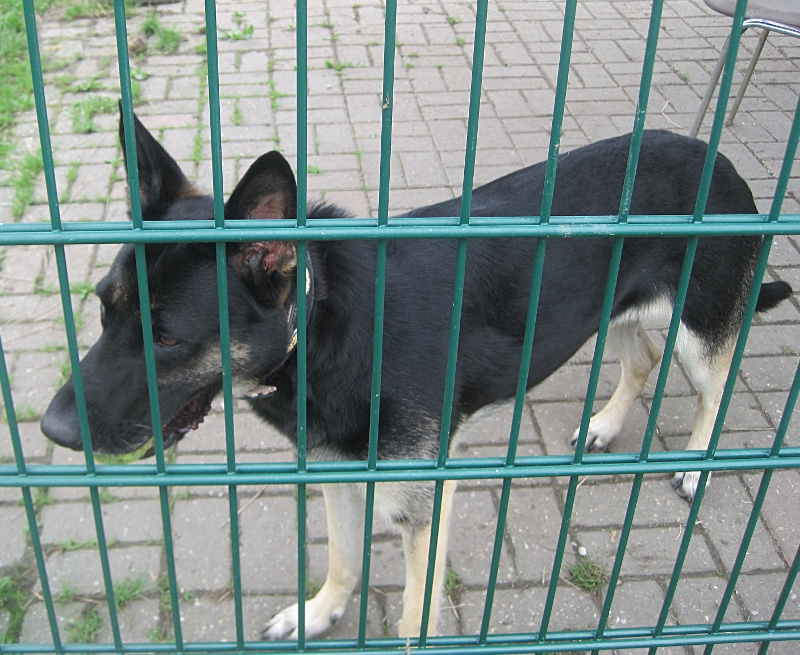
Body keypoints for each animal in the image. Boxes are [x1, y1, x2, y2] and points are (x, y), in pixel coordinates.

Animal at [42, 114, 788, 640]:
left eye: (168, 337)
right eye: (105, 308)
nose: (51, 430)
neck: (321, 325)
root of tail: (717, 156)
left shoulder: (425, 505)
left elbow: (412, 616)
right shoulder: (337, 468)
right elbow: (343, 559)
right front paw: (319, 613)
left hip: (701, 330)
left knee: (715, 384)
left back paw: (697, 464)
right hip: (620, 310)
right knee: (642, 358)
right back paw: (605, 424)